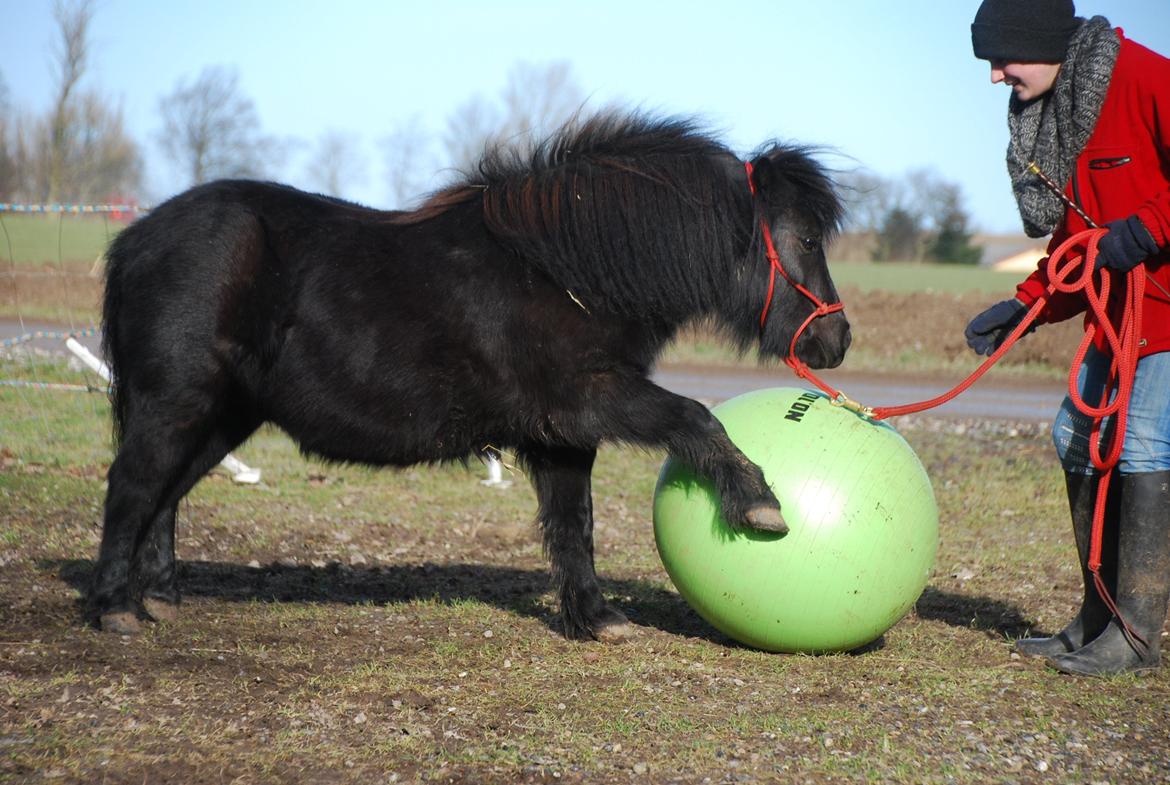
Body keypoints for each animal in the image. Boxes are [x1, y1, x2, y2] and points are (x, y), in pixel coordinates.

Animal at [91, 112, 851, 636]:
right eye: (807, 239)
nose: (836, 340)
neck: (567, 272)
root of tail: (136, 240)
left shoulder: (560, 435)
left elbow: (573, 522)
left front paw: (595, 617)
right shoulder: (590, 401)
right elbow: (695, 416)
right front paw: (758, 502)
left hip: (224, 413)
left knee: (167, 493)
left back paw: (159, 597)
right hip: (176, 402)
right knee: (133, 488)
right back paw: (115, 608)